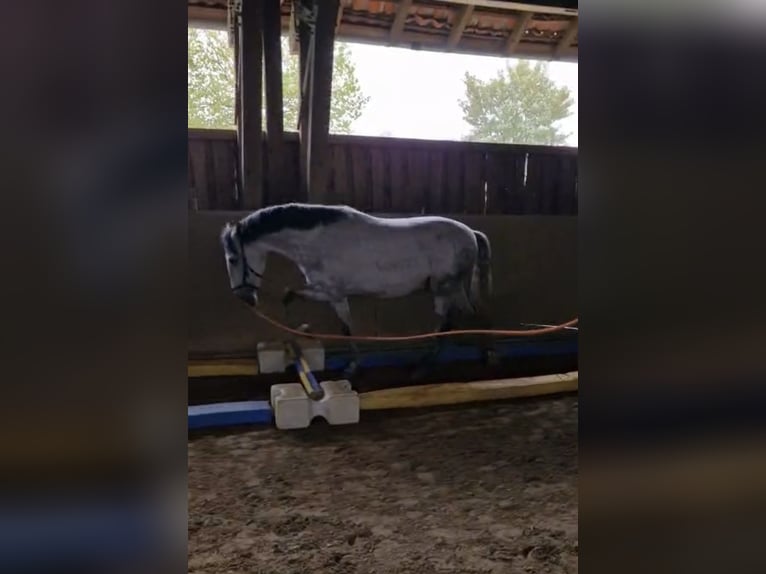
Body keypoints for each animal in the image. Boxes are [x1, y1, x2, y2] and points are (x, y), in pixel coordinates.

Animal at [220, 203, 492, 376]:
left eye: (233, 259)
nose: (244, 298)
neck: (317, 242)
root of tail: (470, 232)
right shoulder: (330, 294)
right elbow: (295, 299)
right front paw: (301, 331)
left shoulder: (331, 293)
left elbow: (341, 325)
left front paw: (350, 366)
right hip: (449, 288)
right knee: (461, 317)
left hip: (445, 287)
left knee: (458, 319)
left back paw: (436, 364)